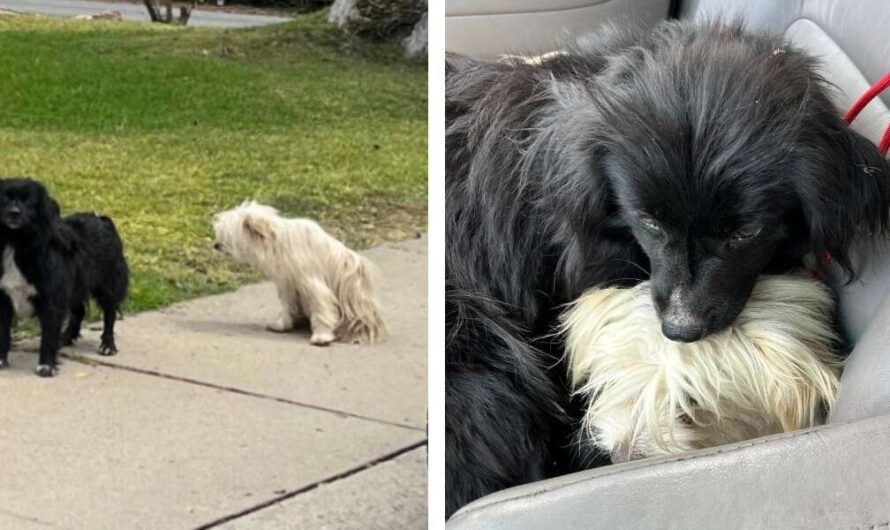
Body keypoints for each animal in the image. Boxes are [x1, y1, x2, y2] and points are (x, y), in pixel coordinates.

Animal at [0, 178, 129, 376]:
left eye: (29, 202)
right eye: (4, 199)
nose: (14, 212)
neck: (16, 242)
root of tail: (102, 220)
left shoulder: (52, 298)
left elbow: (48, 335)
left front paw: (46, 366)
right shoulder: (4, 298)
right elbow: (3, 333)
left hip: (107, 284)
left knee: (110, 313)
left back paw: (107, 345)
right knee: (79, 311)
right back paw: (65, 337)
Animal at [213, 200, 386, 344]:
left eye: (227, 235)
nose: (215, 245)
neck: (279, 241)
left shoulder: (311, 282)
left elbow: (321, 307)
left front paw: (321, 336)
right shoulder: (287, 283)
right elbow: (287, 304)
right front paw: (282, 325)